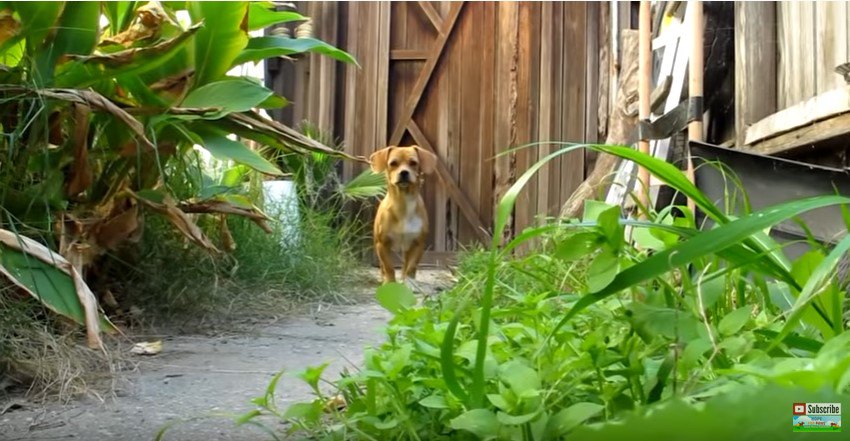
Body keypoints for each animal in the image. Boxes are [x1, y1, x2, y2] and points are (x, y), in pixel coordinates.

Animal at [370, 144, 438, 286]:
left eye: (413, 163)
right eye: (393, 163)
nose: (404, 172)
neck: (403, 203)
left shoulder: (417, 244)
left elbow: (411, 267)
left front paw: (409, 284)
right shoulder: (382, 245)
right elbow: (389, 267)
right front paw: (390, 283)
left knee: (406, 265)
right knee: (383, 266)